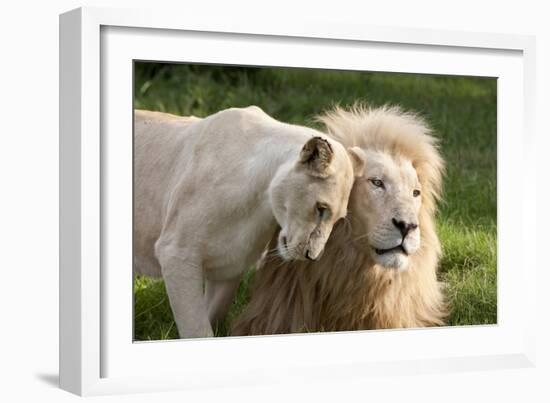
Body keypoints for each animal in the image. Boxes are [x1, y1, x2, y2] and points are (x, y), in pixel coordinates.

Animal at [134, 106, 366, 338]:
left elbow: (213, 315)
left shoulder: (230, 265)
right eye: (321, 209)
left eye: (338, 219)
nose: (312, 256)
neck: (259, 205)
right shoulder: (177, 253)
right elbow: (197, 329)